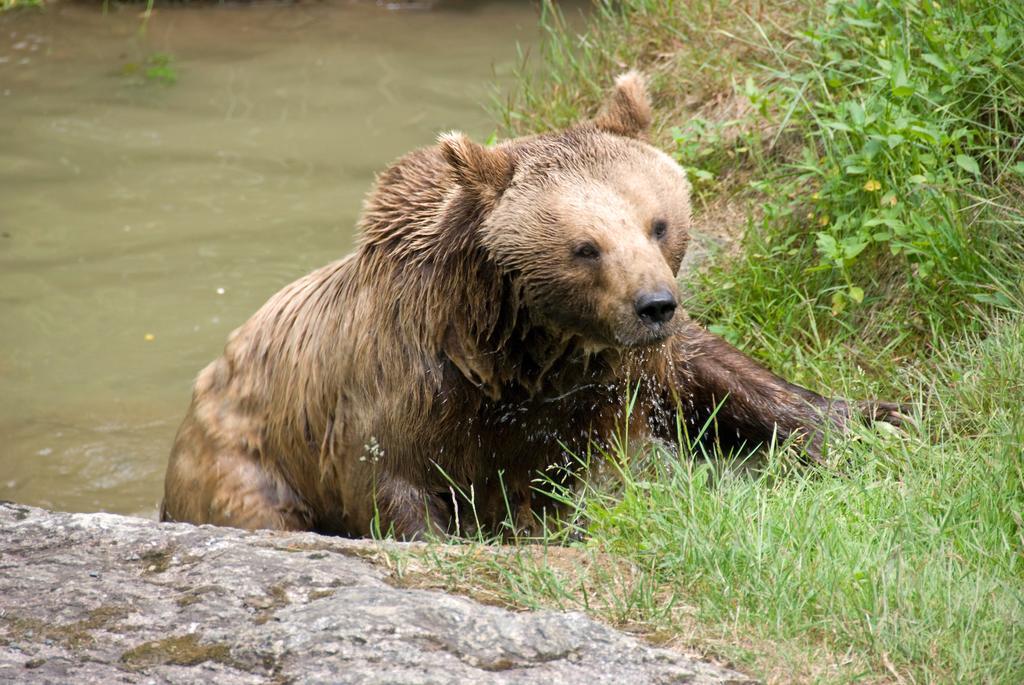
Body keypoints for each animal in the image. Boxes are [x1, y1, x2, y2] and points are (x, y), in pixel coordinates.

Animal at [159, 72, 905, 536]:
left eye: (658, 223)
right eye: (585, 246)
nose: (654, 304)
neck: (523, 349)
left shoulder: (628, 372)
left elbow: (720, 378)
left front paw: (873, 417)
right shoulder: (402, 392)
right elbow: (394, 488)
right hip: (243, 460)